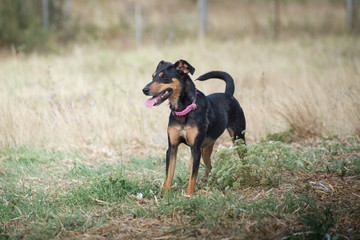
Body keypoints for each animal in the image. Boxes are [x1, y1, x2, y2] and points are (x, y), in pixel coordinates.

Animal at [142, 60, 246, 195]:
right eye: (153, 76)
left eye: (164, 77)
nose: (144, 90)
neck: (183, 110)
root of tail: (229, 94)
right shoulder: (172, 148)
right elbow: (168, 175)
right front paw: (165, 195)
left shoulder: (195, 148)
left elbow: (193, 174)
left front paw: (189, 195)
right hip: (206, 147)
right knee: (209, 166)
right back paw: (206, 181)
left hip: (239, 138)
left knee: (244, 159)